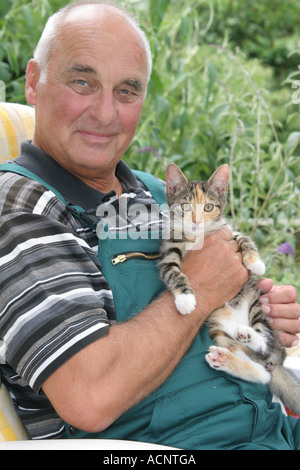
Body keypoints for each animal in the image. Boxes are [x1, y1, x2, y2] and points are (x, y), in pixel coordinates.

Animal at [161, 162, 300, 414]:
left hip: (257, 306)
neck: (197, 237)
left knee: (264, 344)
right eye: (185, 206)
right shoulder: (169, 249)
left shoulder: (228, 232)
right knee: (262, 371)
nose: (196, 221)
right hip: (219, 334)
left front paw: (256, 262)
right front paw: (185, 300)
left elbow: (244, 239)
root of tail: (277, 360)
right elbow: (173, 271)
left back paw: (249, 334)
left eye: (208, 207)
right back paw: (226, 358)